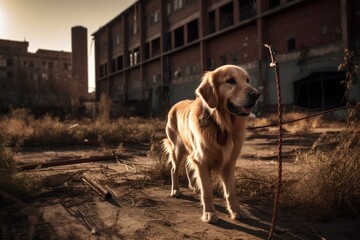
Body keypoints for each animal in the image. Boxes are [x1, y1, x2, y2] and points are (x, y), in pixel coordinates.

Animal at [162, 64, 258, 222]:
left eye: (247, 80)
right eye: (230, 80)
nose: (256, 94)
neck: (221, 125)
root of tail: (176, 104)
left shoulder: (229, 162)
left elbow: (231, 191)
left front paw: (237, 211)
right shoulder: (202, 160)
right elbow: (207, 191)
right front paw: (210, 213)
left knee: (188, 166)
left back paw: (194, 186)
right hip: (177, 148)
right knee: (174, 169)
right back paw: (176, 190)